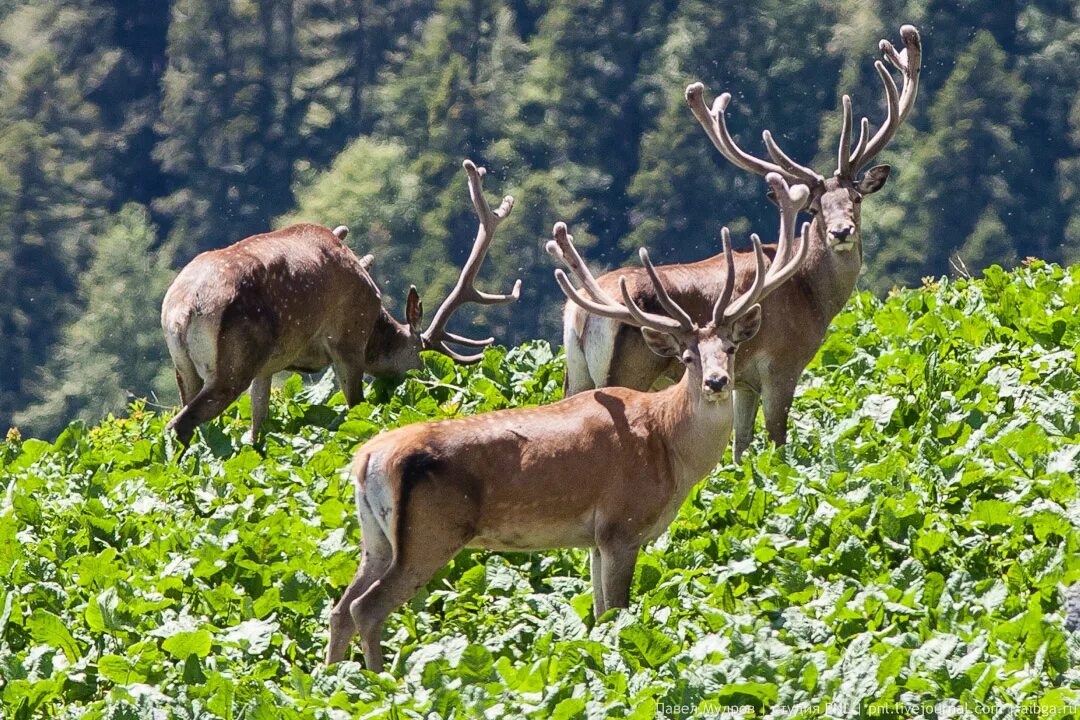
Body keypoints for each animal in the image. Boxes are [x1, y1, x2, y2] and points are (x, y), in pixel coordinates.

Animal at [157, 160, 522, 446]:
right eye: (422, 365)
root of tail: (182, 310)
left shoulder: (269, 367)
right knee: (180, 423)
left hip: (185, 366)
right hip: (234, 362)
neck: (374, 323)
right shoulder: (348, 340)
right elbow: (355, 406)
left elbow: (258, 427)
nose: (437, 390)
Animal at [324, 171, 812, 673]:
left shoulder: (594, 539)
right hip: (431, 534)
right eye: (688, 356)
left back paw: (337, 678)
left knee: (340, 608)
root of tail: (366, 460)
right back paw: (381, 681)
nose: (717, 381)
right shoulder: (621, 525)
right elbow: (617, 611)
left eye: (730, 348)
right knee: (367, 608)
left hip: (377, 539)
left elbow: (598, 615)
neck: (669, 448)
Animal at [561, 23, 924, 462]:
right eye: (815, 209)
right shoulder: (782, 364)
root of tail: (579, 314)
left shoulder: (743, 380)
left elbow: (741, 446)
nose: (841, 232)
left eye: (855, 198)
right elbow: (777, 438)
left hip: (575, 372)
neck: (813, 297)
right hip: (628, 368)